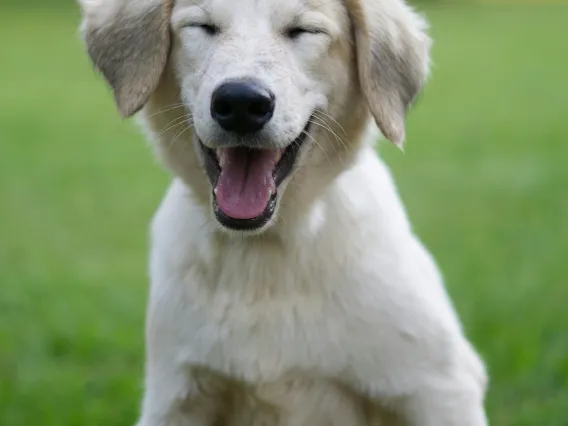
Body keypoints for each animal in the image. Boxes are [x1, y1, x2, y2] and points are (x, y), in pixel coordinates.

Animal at [79, 0, 488, 424]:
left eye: (304, 31)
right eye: (202, 26)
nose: (241, 103)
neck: (266, 252)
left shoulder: (441, 388)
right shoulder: (176, 398)